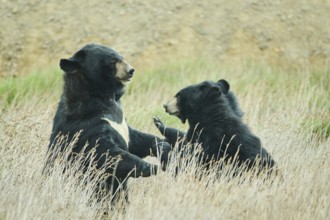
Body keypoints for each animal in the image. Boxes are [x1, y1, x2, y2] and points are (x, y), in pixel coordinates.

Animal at [44, 43, 170, 204]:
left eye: (122, 57)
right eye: (112, 60)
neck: (101, 97)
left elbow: (136, 139)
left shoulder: (120, 123)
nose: (131, 70)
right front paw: (150, 167)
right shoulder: (86, 126)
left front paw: (164, 147)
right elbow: (105, 152)